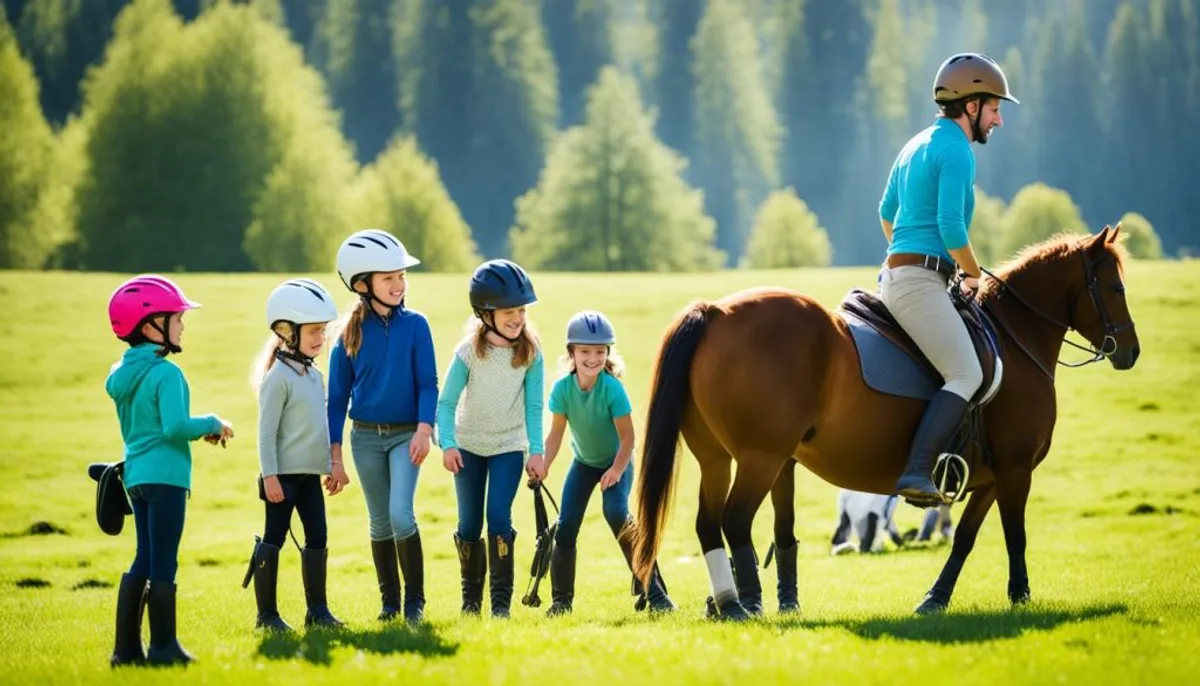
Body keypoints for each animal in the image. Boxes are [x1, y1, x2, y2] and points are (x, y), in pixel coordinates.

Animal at [633, 227, 1137, 618]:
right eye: (1116, 288)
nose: (1131, 351)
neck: (1015, 341)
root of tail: (715, 311)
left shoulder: (991, 476)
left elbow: (964, 539)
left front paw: (936, 599)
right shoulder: (1016, 470)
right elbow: (1015, 535)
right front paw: (1021, 597)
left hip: (721, 458)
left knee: (711, 523)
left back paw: (730, 602)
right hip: (761, 458)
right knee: (735, 521)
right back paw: (743, 605)